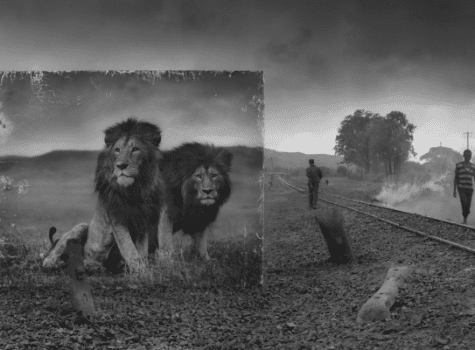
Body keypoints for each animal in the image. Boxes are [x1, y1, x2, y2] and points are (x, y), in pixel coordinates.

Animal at [43, 117, 165, 270]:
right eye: (117, 150)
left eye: (135, 149)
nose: (121, 166)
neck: (134, 190)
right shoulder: (117, 220)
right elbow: (130, 249)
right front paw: (142, 271)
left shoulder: (142, 221)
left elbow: (141, 250)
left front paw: (144, 268)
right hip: (82, 226)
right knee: (59, 246)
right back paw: (53, 262)